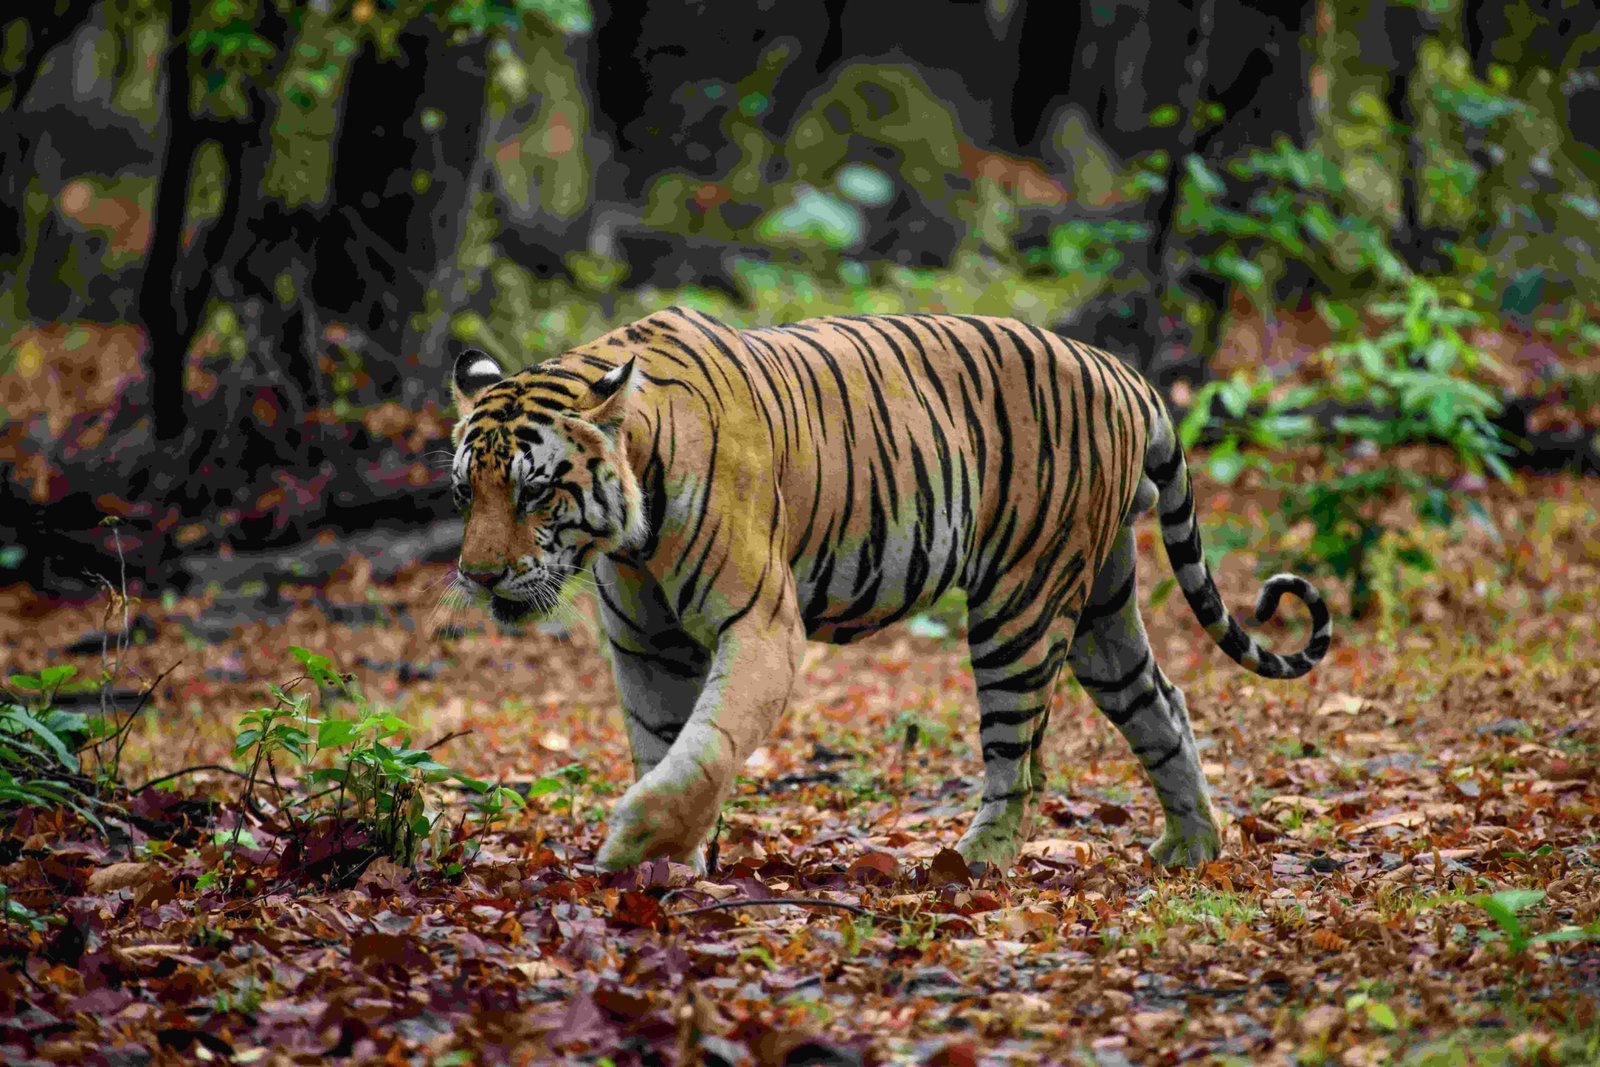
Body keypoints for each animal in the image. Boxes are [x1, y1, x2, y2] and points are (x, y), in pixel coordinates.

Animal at [446, 307, 1332, 872]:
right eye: (465, 492)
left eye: (534, 492)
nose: (478, 576)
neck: (627, 529)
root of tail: (1117, 369)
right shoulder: (646, 643)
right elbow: (662, 740)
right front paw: (668, 864)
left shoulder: (761, 624)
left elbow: (708, 743)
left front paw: (637, 839)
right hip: (1100, 607)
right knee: (1162, 704)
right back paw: (1194, 847)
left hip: (1021, 602)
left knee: (1020, 759)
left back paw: (974, 862)